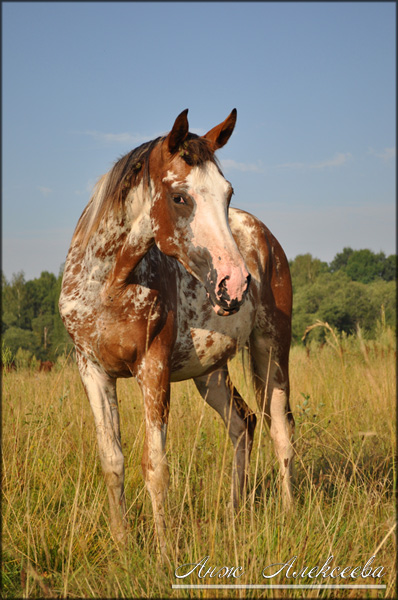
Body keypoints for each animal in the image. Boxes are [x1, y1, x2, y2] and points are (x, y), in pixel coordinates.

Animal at [59, 109, 296, 556]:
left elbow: (155, 466)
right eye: (180, 197)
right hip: (211, 372)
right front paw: (123, 545)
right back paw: (235, 514)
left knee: (280, 430)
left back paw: (292, 513)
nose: (235, 282)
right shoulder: (93, 370)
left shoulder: (153, 369)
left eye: (227, 192)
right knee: (242, 424)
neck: (108, 285)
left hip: (271, 351)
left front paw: (165, 551)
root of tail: (262, 233)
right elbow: (112, 461)